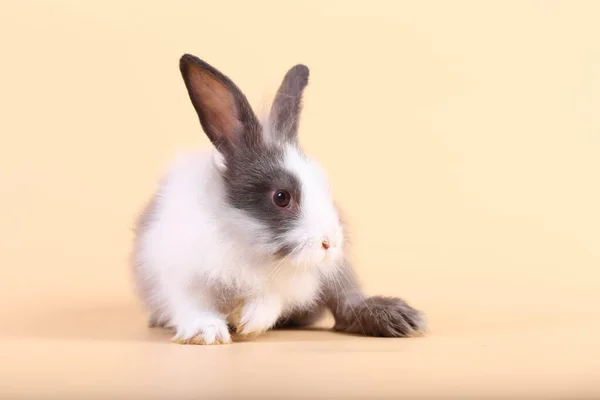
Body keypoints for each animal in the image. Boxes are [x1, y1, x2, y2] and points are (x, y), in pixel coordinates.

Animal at [130, 54, 426, 346]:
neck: (246, 241)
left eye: (324, 186)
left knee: (347, 304)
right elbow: (191, 305)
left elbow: (270, 301)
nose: (330, 244)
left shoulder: (289, 286)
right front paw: (207, 332)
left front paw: (249, 321)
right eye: (281, 197)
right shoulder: (180, 274)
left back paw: (400, 318)